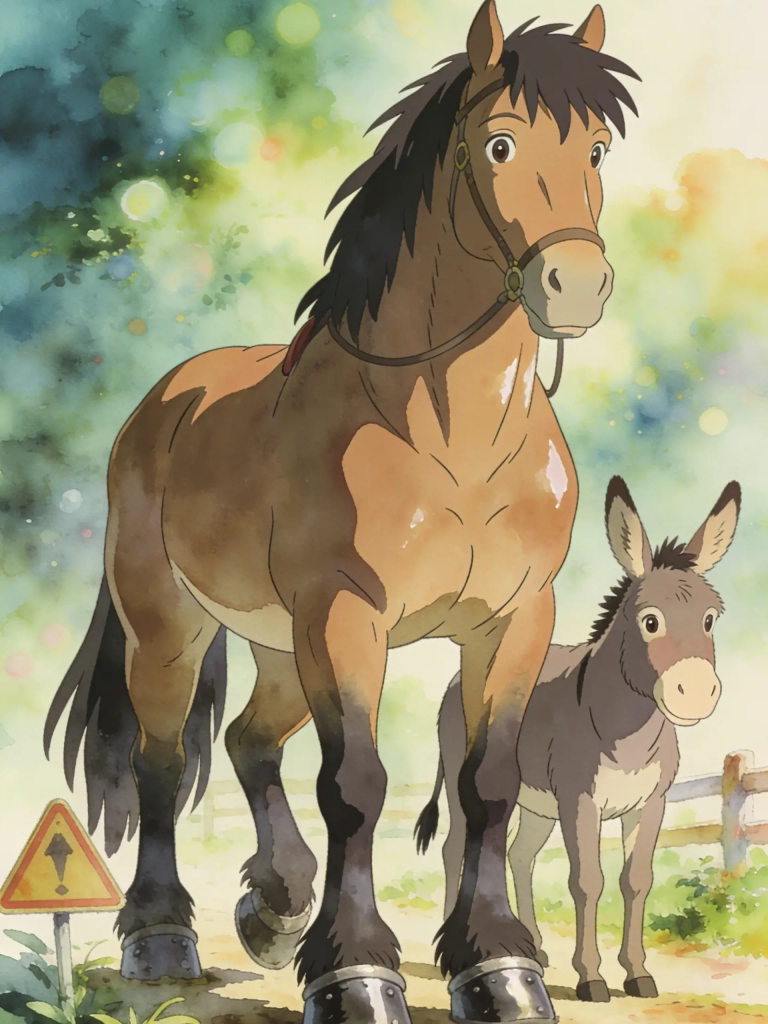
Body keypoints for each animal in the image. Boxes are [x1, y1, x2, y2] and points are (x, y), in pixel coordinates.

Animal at [43, 3, 640, 1022]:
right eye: (500, 142)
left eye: (596, 149)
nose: (576, 285)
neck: (453, 436)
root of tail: (160, 401)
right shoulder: (346, 616)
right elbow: (356, 784)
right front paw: (355, 971)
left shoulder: (515, 620)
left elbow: (486, 783)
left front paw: (500, 967)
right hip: (174, 629)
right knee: (162, 763)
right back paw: (162, 937)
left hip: (284, 648)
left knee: (247, 741)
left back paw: (275, 905)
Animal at [416, 476, 741, 1004]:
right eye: (651, 621)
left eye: (710, 619)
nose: (694, 693)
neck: (627, 730)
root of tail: (456, 681)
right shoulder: (579, 800)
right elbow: (587, 881)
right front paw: (591, 978)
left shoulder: (650, 802)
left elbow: (637, 880)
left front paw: (637, 974)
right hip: (469, 787)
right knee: (455, 848)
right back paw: (452, 953)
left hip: (535, 804)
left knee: (519, 855)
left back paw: (534, 949)